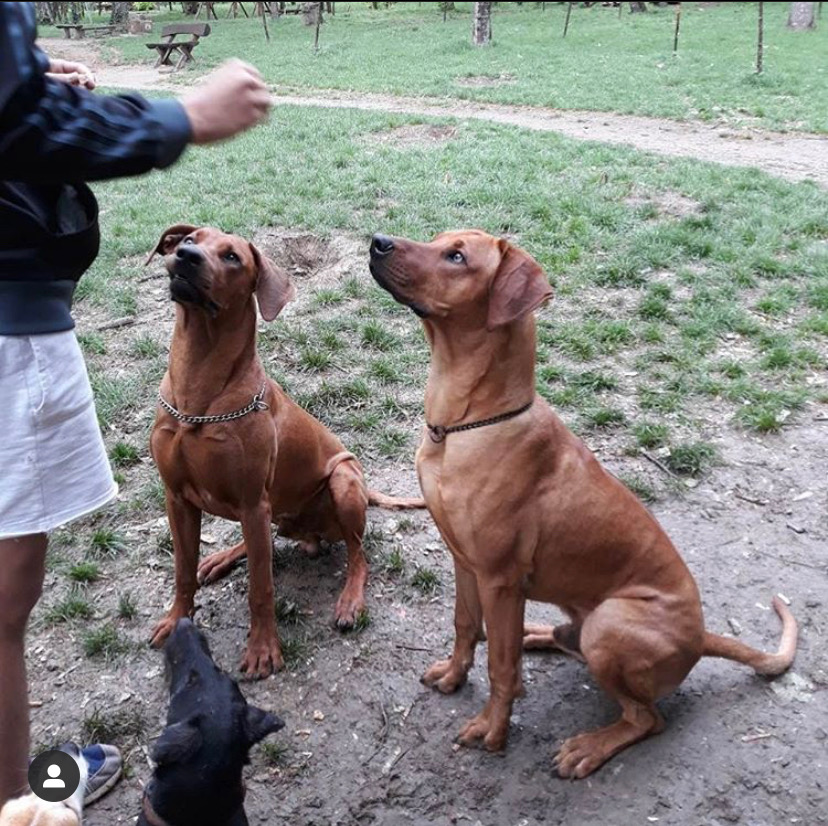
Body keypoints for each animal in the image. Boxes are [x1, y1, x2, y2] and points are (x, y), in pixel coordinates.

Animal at [147, 225, 422, 678]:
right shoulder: (177, 499)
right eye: (190, 239)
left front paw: (262, 648)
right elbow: (183, 571)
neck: (198, 391)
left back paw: (350, 600)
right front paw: (175, 621)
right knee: (265, 540)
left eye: (232, 257)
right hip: (271, 510)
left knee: (358, 554)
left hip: (342, 480)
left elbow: (261, 586)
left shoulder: (251, 500)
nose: (186, 255)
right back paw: (223, 557)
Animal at [369, 229, 798, 778]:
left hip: (609, 625)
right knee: (549, 639)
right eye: (440, 239)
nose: (377, 240)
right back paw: (535, 632)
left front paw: (493, 729)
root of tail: (700, 638)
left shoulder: (499, 577)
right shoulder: (464, 560)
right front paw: (454, 674)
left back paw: (590, 746)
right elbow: (465, 625)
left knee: (647, 718)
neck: (465, 424)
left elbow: (502, 669)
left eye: (457, 256)